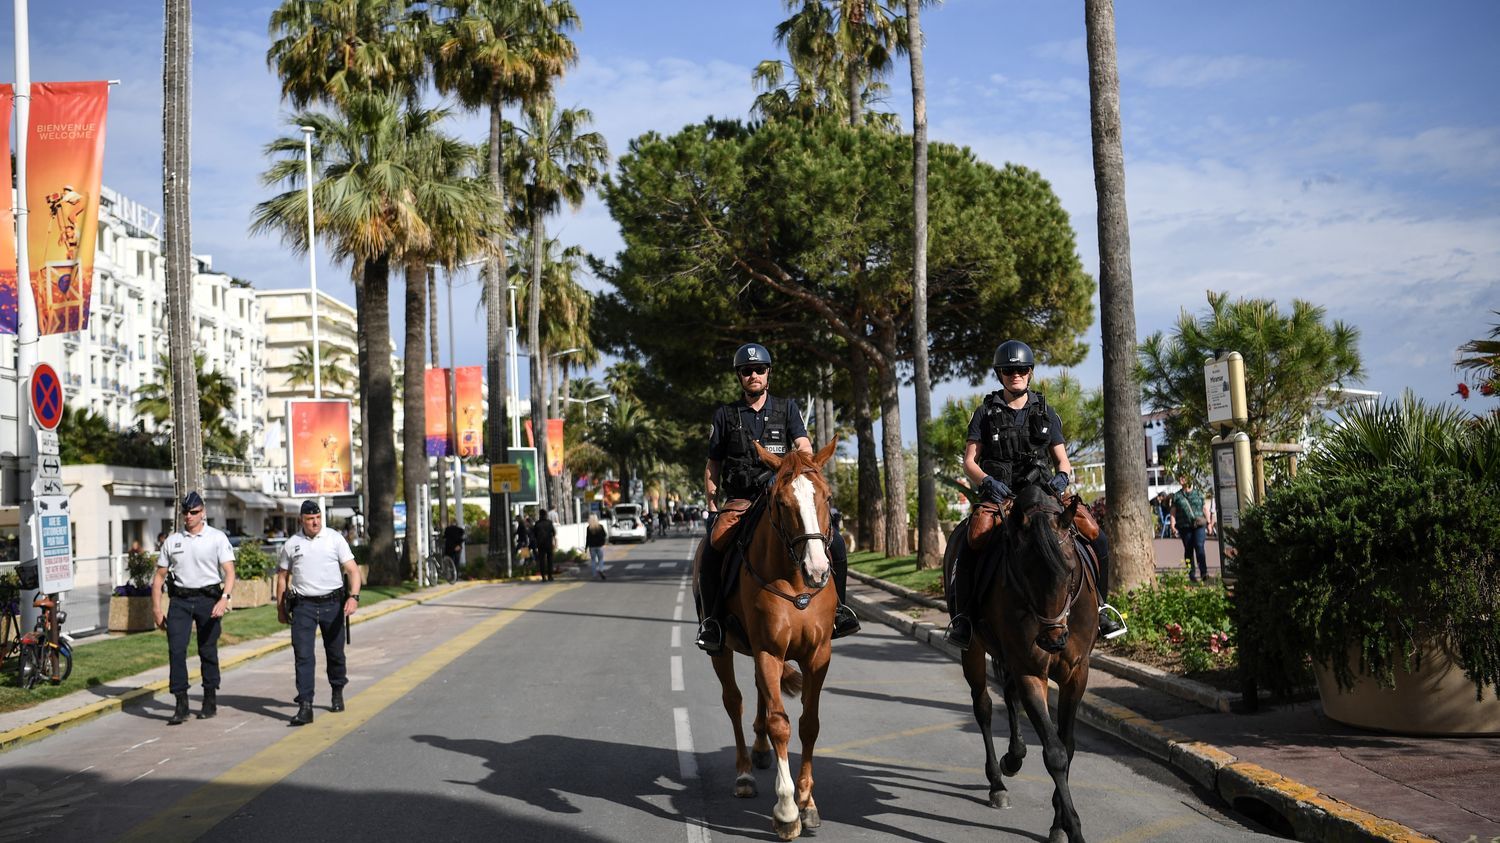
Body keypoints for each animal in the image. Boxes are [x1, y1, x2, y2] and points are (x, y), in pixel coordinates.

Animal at [696, 435, 840, 834]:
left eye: (828, 497)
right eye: (780, 501)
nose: (818, 569)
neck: (794, 581)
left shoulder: (818, 655)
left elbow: (809, 724)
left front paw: (808, 802)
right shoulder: (769, 651)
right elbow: (781, 725)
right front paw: (787, 809)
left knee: (762, 693)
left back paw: (760, 752)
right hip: (722, 651)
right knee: (734, 701)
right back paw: (745, 772)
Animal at [948, 480, 1104, 840]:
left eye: (1070, 570)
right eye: (1024, 571)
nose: (1052, 640)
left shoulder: (1077, 673)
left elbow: (1067, 745)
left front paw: (1059, 822)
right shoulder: (1032, 672)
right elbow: (1055, 752)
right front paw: (1071, 828)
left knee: (1008, 695)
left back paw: (1014, 757)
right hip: (973, 650)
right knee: (983, 707)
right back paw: (997, 782)